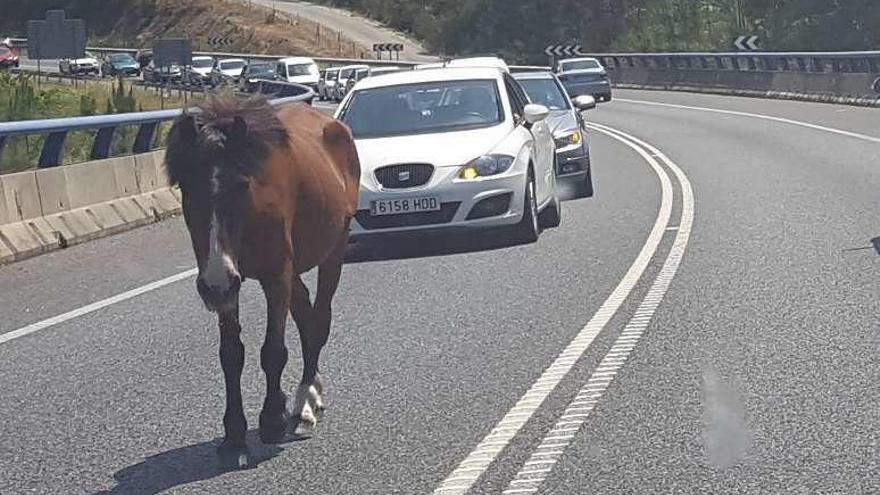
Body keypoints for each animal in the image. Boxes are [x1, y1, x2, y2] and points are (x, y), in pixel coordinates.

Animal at [167, 93, 360, 468]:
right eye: (187, 187)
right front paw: (234, 437)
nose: (215, 283)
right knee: (306, 316)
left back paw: (305, 401)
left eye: (242, 185)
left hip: (334, 249)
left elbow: (273, 350)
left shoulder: (274, 275)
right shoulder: (228, 285)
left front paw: (271, 420)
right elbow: (231, 355)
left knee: (319, 319)